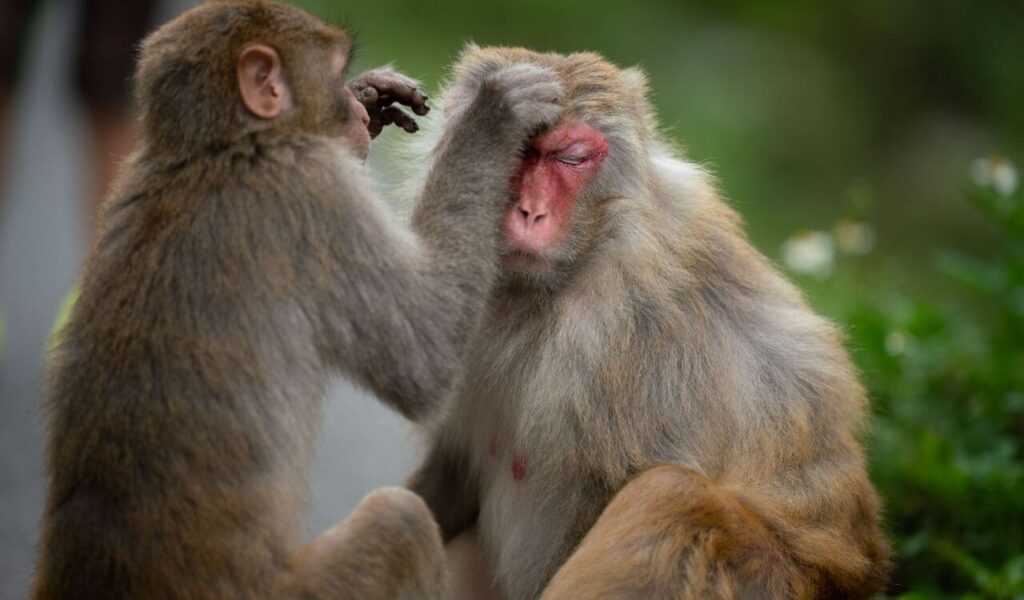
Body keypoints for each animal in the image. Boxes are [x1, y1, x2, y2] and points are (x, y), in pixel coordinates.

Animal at [31, 3, 564, 598]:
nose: (352, 109)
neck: (212, 151)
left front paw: (373, 96)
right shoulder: (311, 192)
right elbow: (424, 355)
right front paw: (494, 113)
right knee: (397, 521)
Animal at [405, 45, 891, 600]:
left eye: (569, 158)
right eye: (518, 151)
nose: (530, 213)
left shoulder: (637, 336)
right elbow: (448, 474)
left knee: (671, 494)